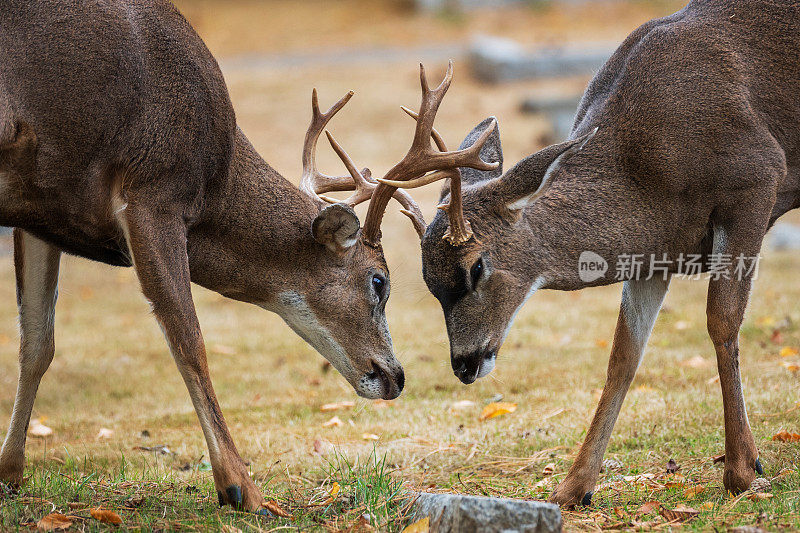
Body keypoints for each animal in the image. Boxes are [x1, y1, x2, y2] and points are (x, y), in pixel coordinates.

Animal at [0, 1, 500, 516]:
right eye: (379, 281)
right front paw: (243, 488)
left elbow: (36, 344)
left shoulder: (43, 212)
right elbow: (190, 342)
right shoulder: (154, 192)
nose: (395, 377)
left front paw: (10, 472)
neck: (215, 182)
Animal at [378, 0, 796, 508]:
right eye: (429, 283)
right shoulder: (655, 248)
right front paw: (574, 486)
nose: (463, 364)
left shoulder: (758, 177)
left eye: (476, 266)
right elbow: (624, 355)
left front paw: (742, 468)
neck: (646, 173)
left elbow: (722, 320)